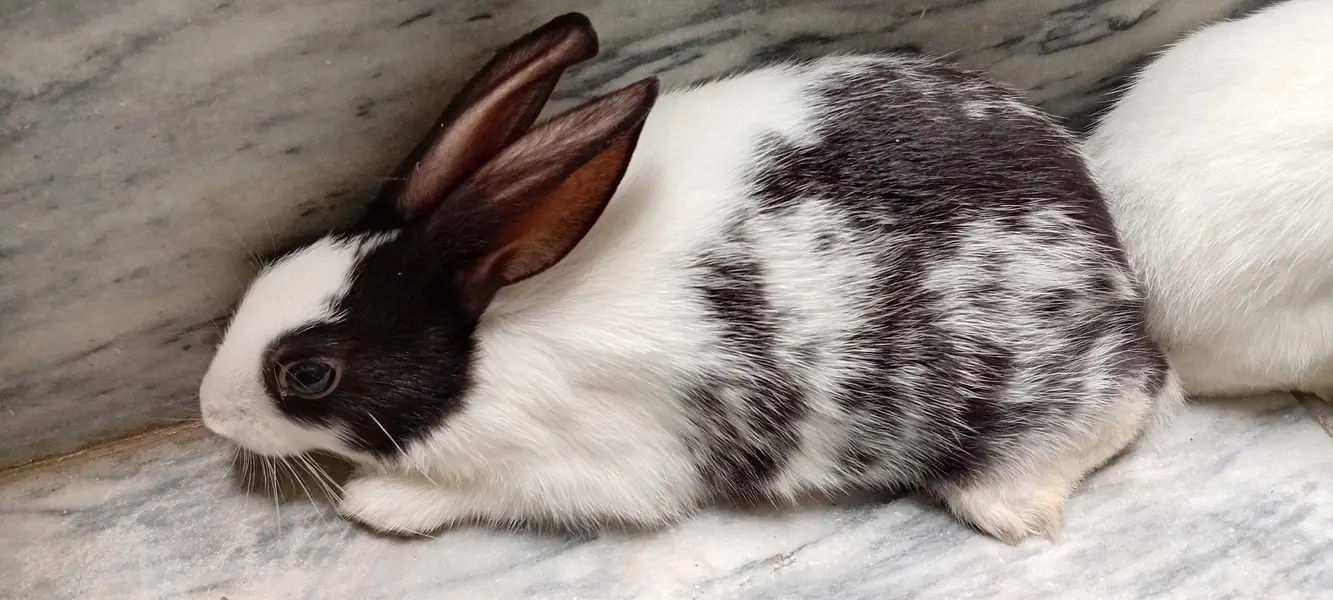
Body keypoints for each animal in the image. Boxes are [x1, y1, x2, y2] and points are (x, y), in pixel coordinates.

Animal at [199, 12, 1181, 544]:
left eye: (308, 373)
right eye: (272, 265)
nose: (211, 412)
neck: (481, 344)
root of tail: (1108, 256)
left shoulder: (592, 463)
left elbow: (482, 492)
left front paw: (379, 503)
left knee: (1112, 416)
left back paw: (1002, 505)